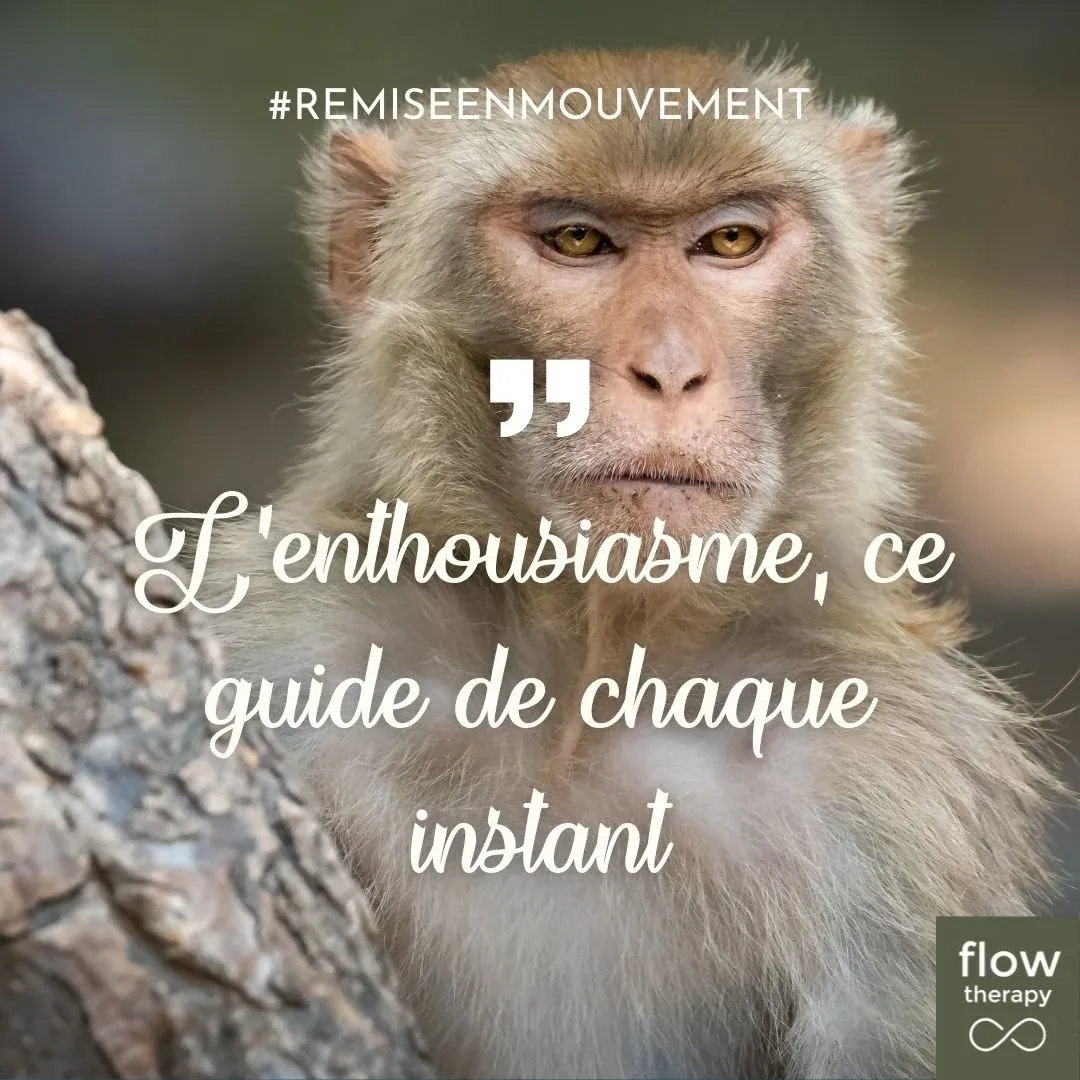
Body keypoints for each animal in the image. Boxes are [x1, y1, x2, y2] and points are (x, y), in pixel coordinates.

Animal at [209, 48, 1062, 1079]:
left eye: (730, 241)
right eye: (579, 241)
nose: (670, 369)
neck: (590, 680)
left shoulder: (895, 779)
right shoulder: (288, 636)